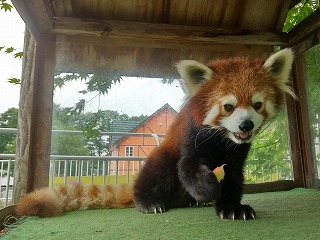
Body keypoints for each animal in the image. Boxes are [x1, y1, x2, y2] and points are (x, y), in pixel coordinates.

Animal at [14, 48, 296, 221]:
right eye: (228, 106)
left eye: (257, 104)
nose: (245, 125)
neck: (222, 139)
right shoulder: (192, 137)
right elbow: (187, 166)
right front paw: (207, 189)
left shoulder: (237, 153)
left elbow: (233, 177)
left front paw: (232, 208)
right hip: (161, 159)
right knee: (158, 170)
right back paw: (150, 202)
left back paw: (193, 202)